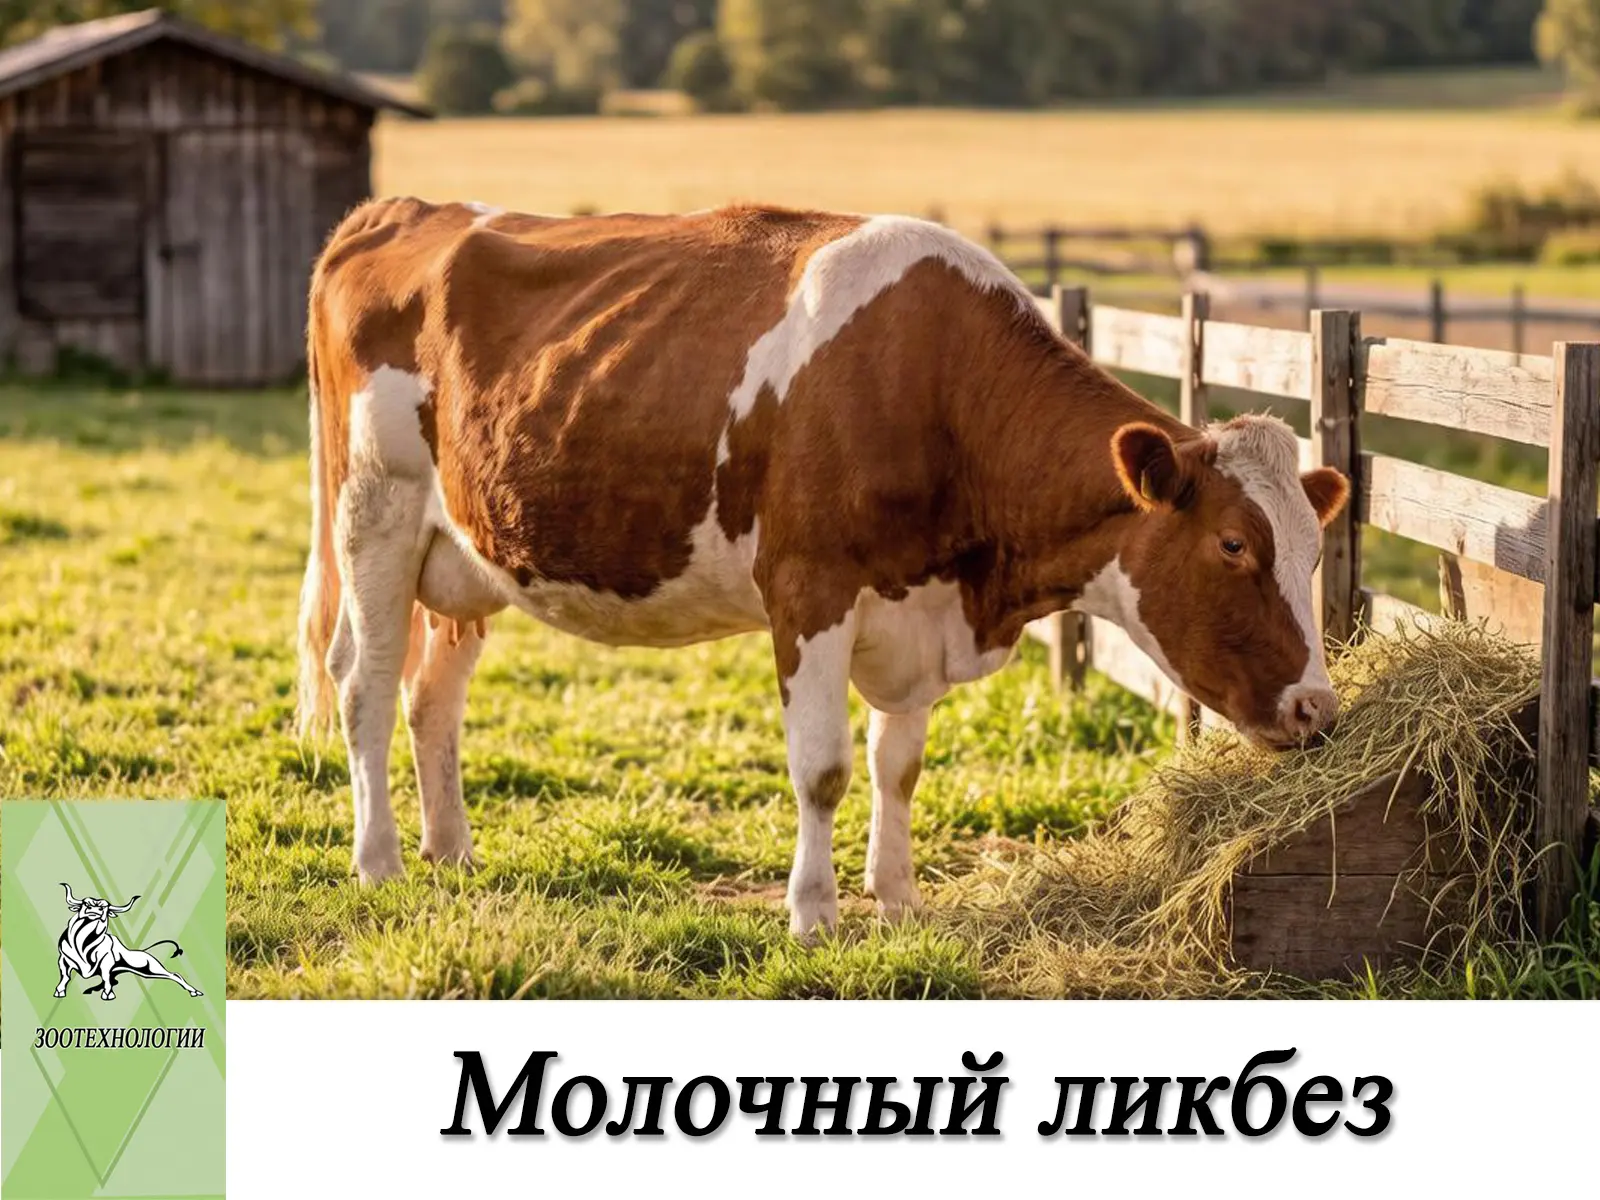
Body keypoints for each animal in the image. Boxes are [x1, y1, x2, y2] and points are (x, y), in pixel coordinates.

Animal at [55, 883, 203, 1000]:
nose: (96, 909)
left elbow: (106, 977)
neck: (83, 943)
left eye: (105, 907)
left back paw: (194, 991)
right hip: (147, 972)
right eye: (86, 903)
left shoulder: (106, 962)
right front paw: (59, 991)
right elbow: (65, 976)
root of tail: (145, 953)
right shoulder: (63, 960)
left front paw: (108, 993)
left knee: (175, 975)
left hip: (152, 968)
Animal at [296, 200, 1349, 937]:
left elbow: (899, 766)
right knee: (366, 685)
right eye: (1234, 545)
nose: (1316, 708)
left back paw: (452, 853)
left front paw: (900, 899)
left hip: (463, 556)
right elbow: (826, 769)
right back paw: (380, 860)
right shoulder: (808, 589)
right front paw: (815, 913)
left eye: (1313, 549)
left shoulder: (917, 610)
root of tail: (398, 212)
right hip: (373, 512)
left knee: (433, 697)